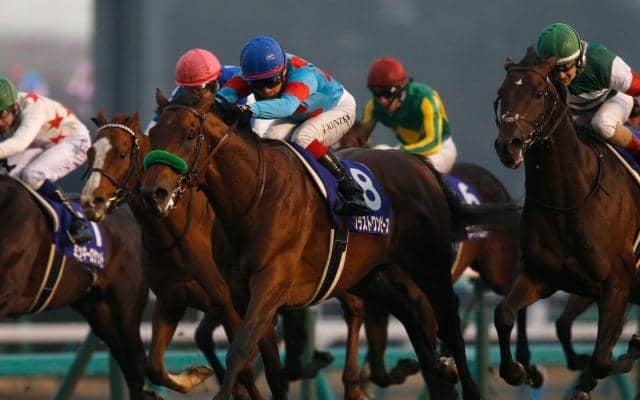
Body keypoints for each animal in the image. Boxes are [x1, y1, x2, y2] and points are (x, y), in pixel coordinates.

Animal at [137, 90, 521, 400]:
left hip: (430, 263)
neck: (252, 196)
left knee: (450, 323)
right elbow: (272, 369)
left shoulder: (271, 283)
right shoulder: (240, 292)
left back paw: (476, 380)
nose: (153, 192)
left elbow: (240, 350)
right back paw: (438, 372)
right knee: (409, 312)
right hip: (366, 274)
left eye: (188, 134)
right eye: (152, 134)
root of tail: (418, 165)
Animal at [493, 47, 640, 399]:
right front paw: (519, 370)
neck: (567, 201)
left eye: (537, 93)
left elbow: (602, 358)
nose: (508, 146)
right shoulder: (540, 275)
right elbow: (504, 314)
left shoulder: (617, 284)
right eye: (502, 95)